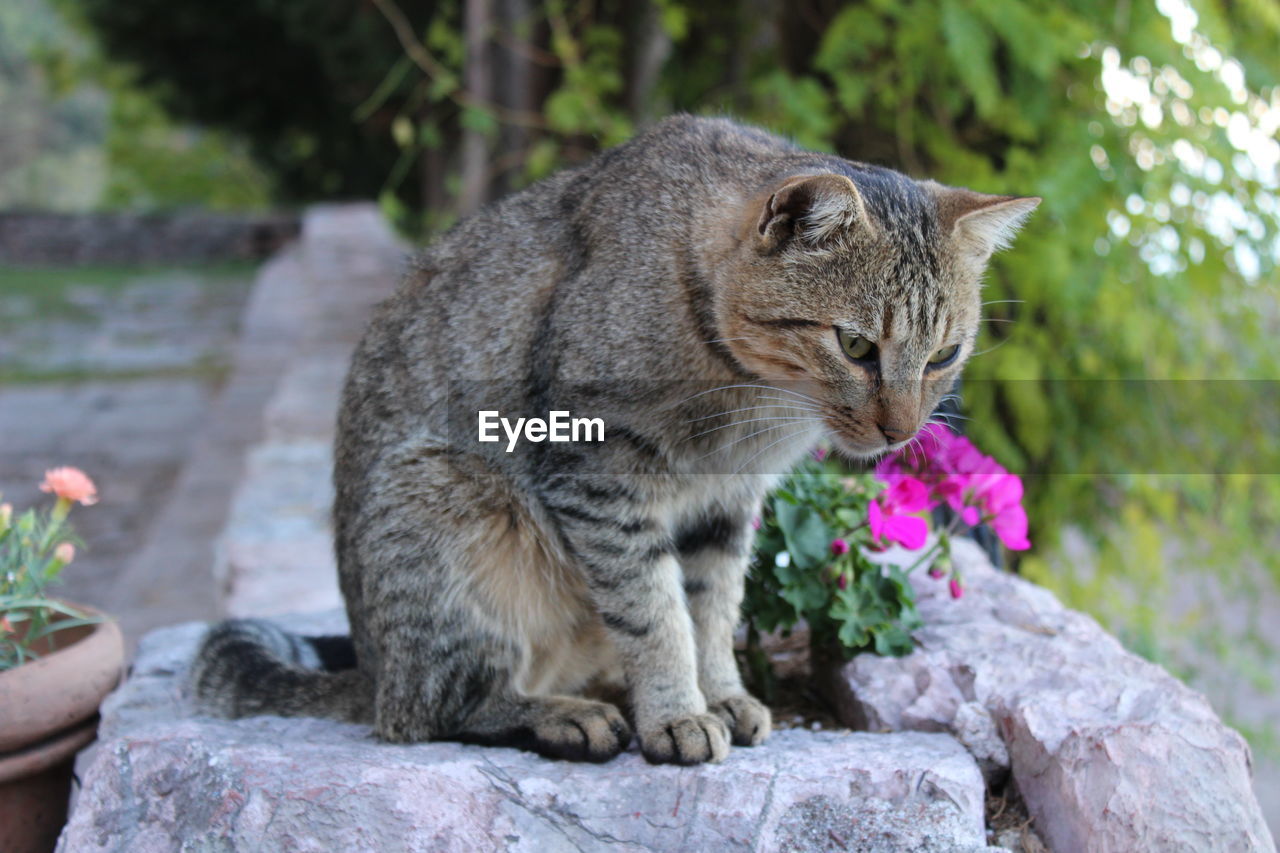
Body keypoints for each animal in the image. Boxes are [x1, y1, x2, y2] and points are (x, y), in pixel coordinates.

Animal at [189, 114, 1034, 763]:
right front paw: (677, 711)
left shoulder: (727, 504)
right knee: (427, 709)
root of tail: (370, 666)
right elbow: (655, 610)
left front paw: (719, 692)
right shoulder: (596, 471)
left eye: (944, 355)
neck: (749, 402)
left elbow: (713, 609)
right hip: (444, 508)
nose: (901, 430)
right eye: (856, 346)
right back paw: (562, 714)